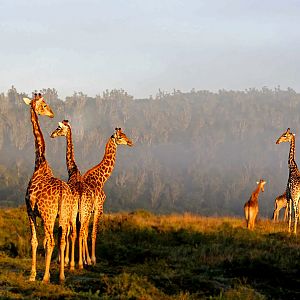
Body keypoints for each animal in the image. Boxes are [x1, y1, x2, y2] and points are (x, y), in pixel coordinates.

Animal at [23, 92, 74, 282]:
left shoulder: (30, 211)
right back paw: (61, 276)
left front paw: (32, 275)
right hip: (64, 215)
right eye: (44, 105)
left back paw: (45, 277)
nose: (51, 114)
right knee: (61, 240)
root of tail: (62, 192)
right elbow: (42, 242)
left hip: (48, 215)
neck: (40, 163)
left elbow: (35, 241)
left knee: (52, 240)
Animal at [50, 119, 94, 270]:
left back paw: (75, 263)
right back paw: (81, 263)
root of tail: (80, 194)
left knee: (73, 233)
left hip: (74, 212)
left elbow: (67, 233)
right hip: (85, 213)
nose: (52, 134)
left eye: (58, 128)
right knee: (81, 232)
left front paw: (66, 260)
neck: (73, 170)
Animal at [82, 127, 133, 264]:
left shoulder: (92, 211)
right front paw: (93, 259)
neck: (101, 179)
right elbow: (93, 232)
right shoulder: (99, 208)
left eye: (125, 134)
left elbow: (88, 232)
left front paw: (86, 259)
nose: (130, 142)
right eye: (120, 137)